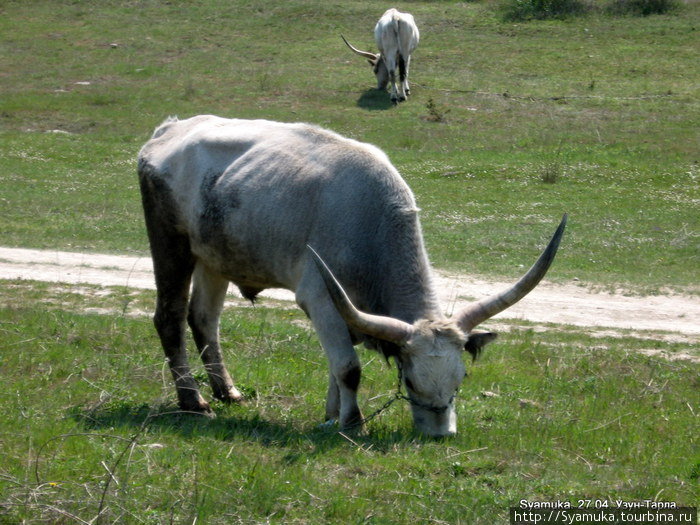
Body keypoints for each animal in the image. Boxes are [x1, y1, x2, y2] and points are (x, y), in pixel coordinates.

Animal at [138, 115, 568, 438]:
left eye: (460, 380)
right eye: (411, 383)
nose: (440, 434)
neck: (370, 223)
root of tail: (169, 130)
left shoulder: (346, 312)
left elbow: (336, 366)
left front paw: (332, 416)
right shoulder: (321, 299)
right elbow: (348, 367)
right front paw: (352, 422)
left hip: (214, 258)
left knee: (204, 320)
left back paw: (228, 392)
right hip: (171, 246)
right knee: (170, 318)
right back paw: (194, 402)